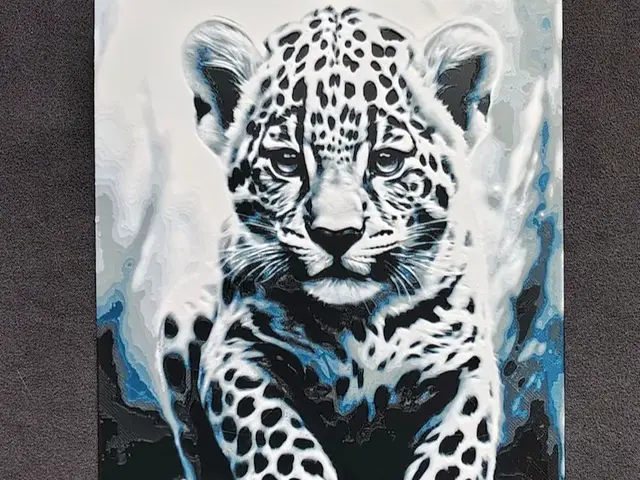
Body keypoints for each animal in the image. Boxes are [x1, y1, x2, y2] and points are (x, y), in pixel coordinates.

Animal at [157, 6, 504, 480]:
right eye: (286, 162)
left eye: (386, 161)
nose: (336, 236)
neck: (358, 325)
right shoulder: (234, 352)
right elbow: (275, 439)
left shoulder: (466, 364)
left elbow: (456, 453)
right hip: (181, 314)